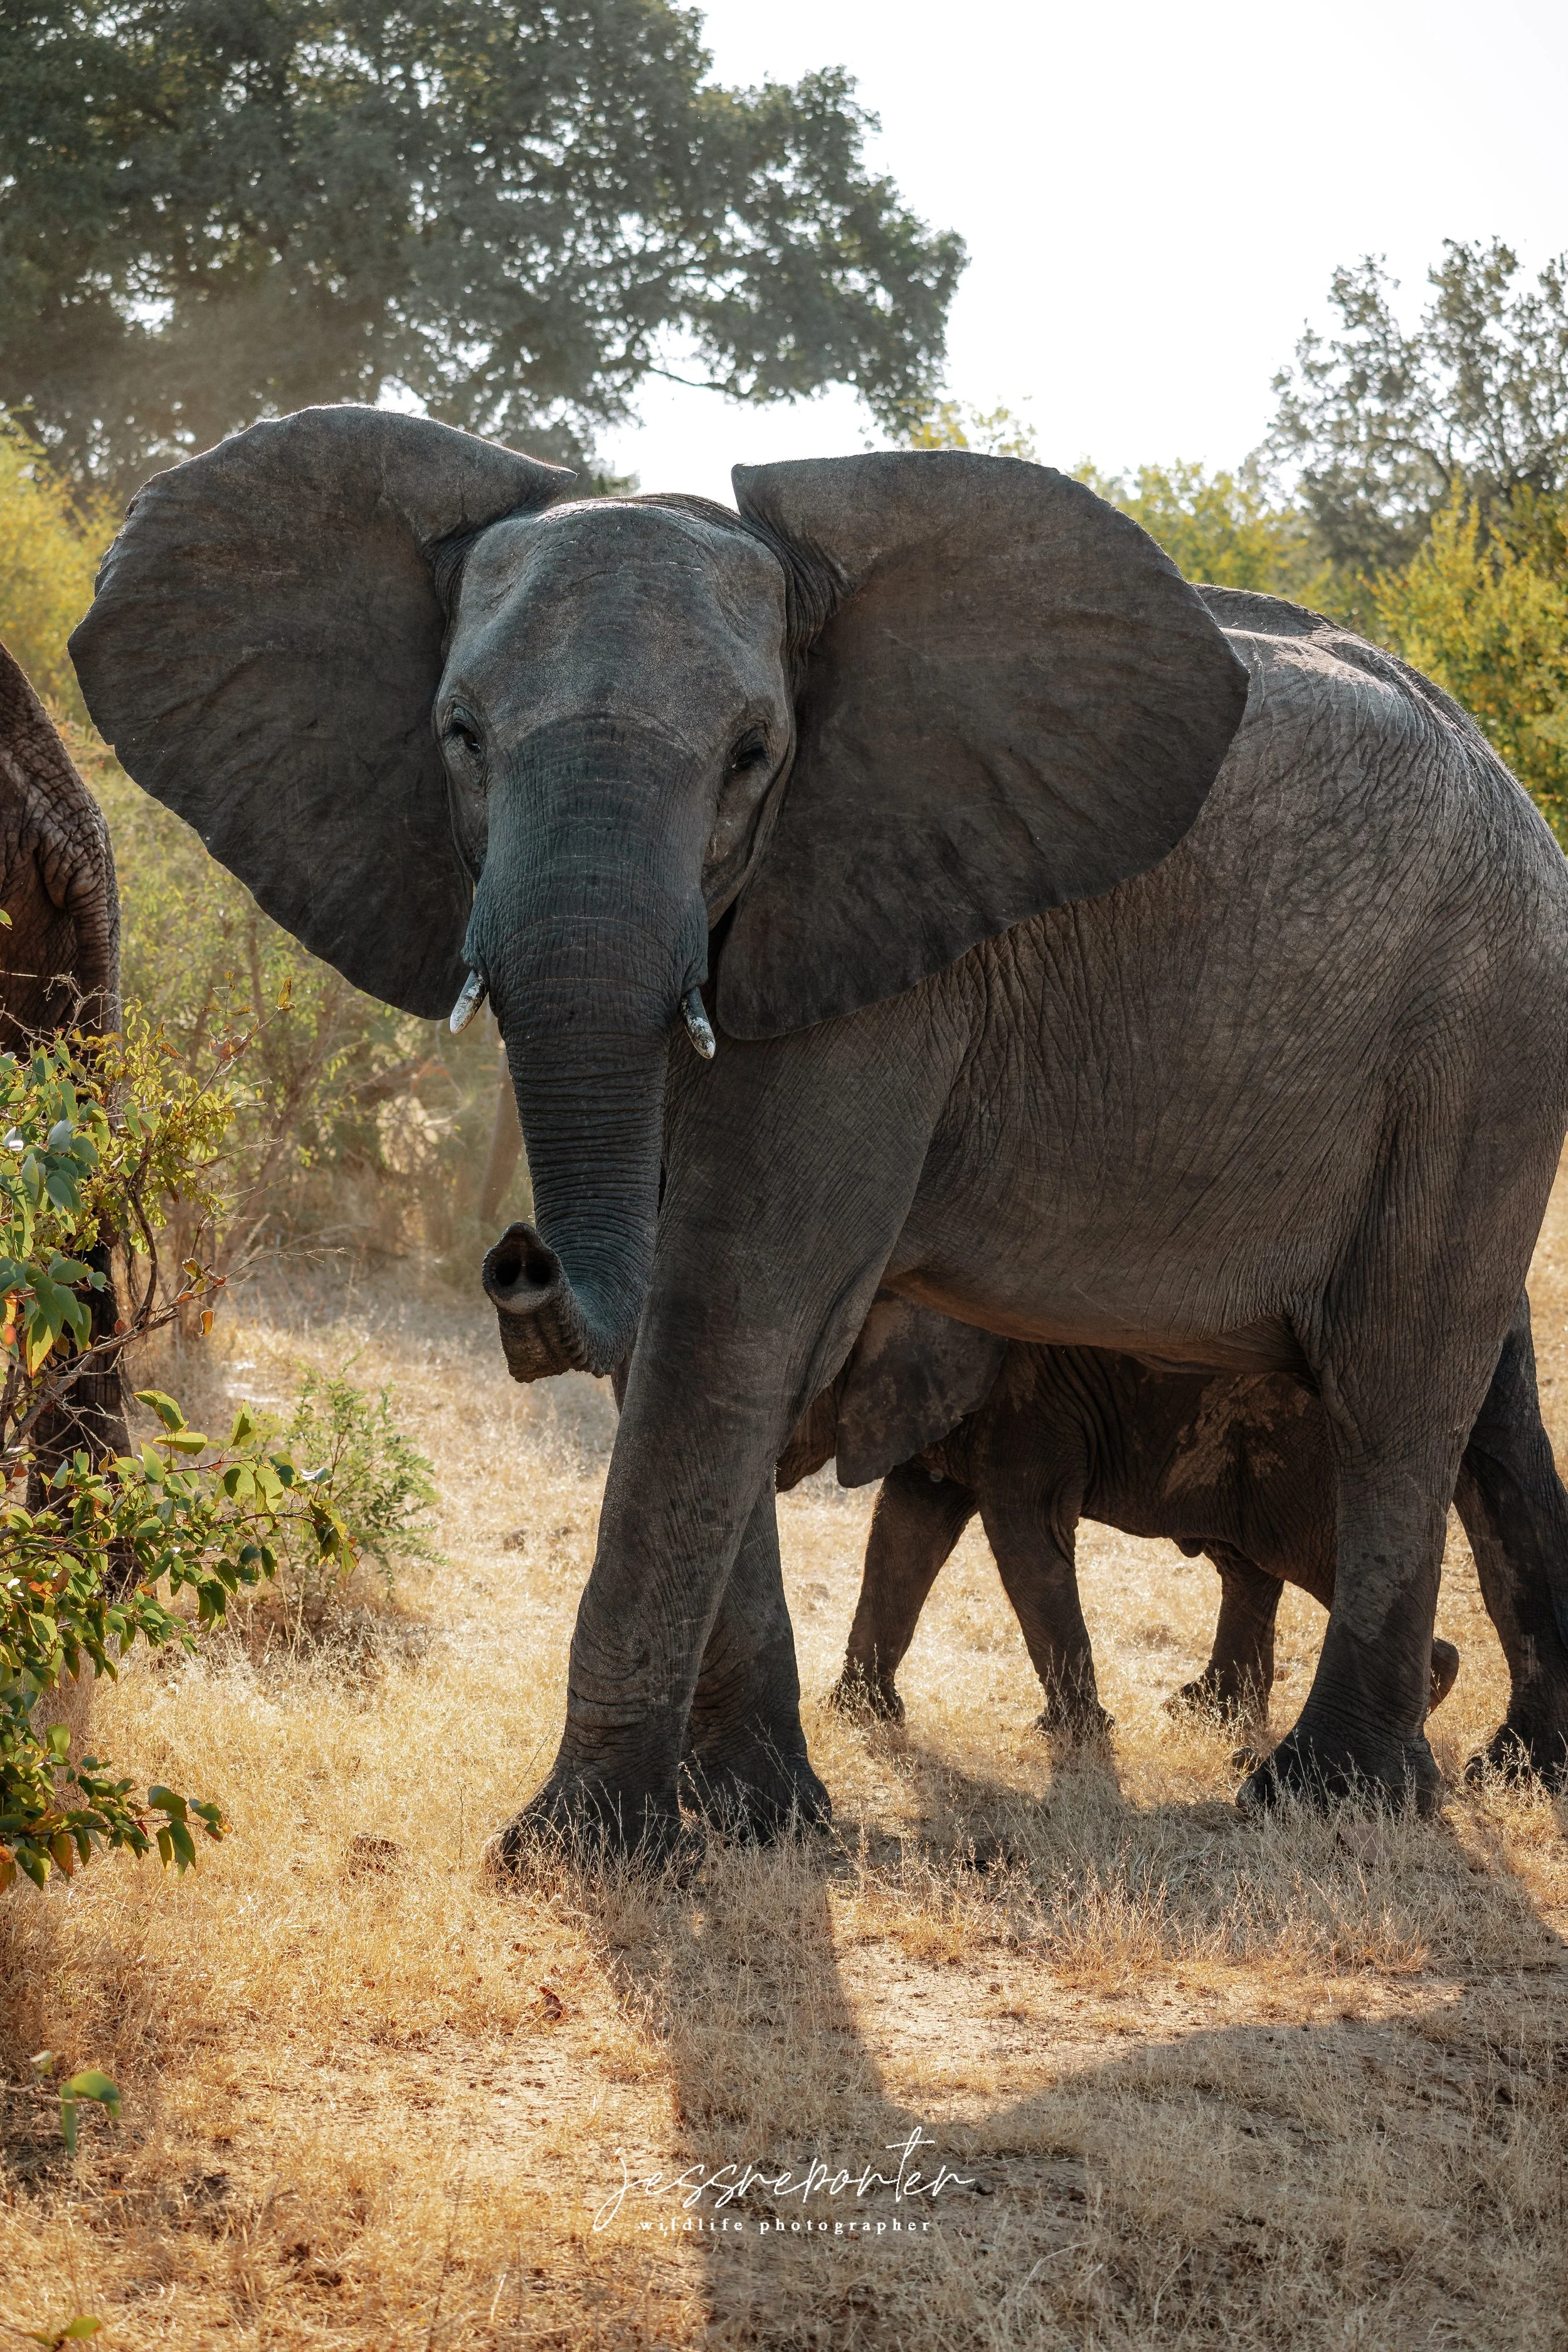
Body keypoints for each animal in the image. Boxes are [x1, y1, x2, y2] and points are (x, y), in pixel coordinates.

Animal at [773, 1294, 1568, 1781]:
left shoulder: (1028, 1397)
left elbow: (1025, 1537)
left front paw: (1075, 1736)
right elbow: (906, 1529)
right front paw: (858, 1714)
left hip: (1312, 1439)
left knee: (1309, 1557)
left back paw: (1423, 1690)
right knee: (1247, 1564)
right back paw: (1207, 1711)